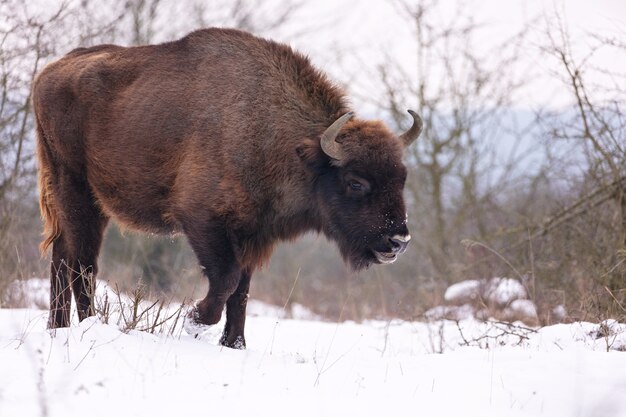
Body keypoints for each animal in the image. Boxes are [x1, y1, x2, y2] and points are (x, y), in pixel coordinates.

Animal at [35, 27, 424, 348]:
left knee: (65, 258)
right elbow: (227, 279)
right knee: (81, 263)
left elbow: (241, 293)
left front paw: (234, 344)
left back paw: (59, 328)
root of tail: (48, 73)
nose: (399, 241)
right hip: (76, 192)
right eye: (356, 182)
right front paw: (194, 320)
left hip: (87, 204)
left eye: (402, 178)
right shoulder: (202, 220)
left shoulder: (250, 234)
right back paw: (85, 326)